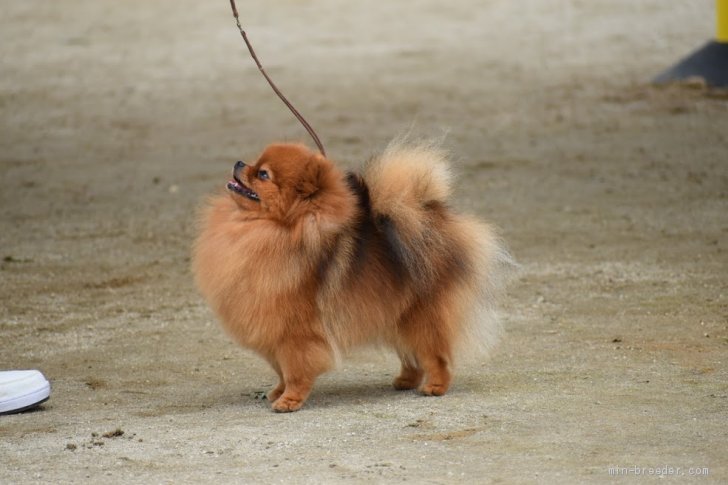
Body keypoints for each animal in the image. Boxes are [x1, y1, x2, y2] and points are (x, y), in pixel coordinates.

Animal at [193, 140, 512, 412]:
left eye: (262, 174)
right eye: (254, 162)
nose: (238, 162)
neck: (267, 228)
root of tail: (431, 216)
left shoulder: (296, 333)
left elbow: (295, 370)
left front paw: (289, 400)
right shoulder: (275, 331)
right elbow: (281, 370)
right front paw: (278, 391)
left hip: (422, 315)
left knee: (435, 354)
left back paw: (435, 386)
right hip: (396, 314)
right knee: (412, 353)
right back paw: (406, 381)